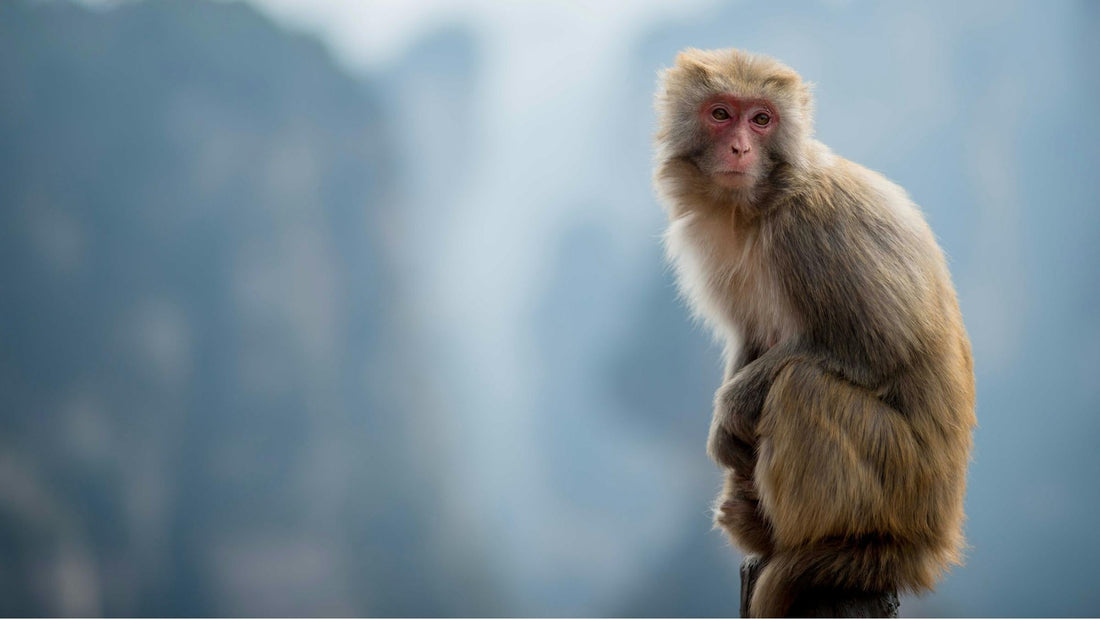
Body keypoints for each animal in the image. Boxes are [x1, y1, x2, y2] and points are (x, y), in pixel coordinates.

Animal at [653, 48, 975, 617]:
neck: (760, 203)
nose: (740, 147)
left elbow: (877, 344)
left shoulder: (814, 231)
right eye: (721, 114)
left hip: (900, 479)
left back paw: (821, 546)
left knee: (804, 386)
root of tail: (932, 541)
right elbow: (751, 338)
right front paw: (725, 436)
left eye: (762, 119)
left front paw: (729, 412)